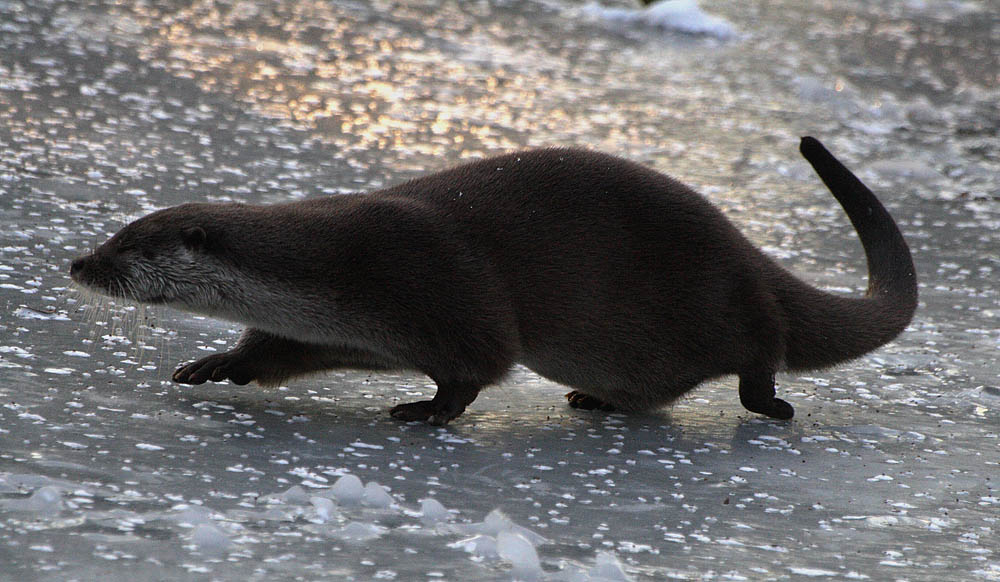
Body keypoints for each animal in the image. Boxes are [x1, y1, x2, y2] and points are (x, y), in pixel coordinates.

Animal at [68, 139, 916, 426]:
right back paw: (598, 398)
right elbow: (274, 351)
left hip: (728, 296)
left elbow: (478, 367)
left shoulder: (438, 284)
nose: (79, 263)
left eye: (129, 246)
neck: (329, 269)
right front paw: (219, 364)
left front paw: (422, 411)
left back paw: (770, 404)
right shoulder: (340, 330)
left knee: (762, 353)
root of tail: (749, 250)